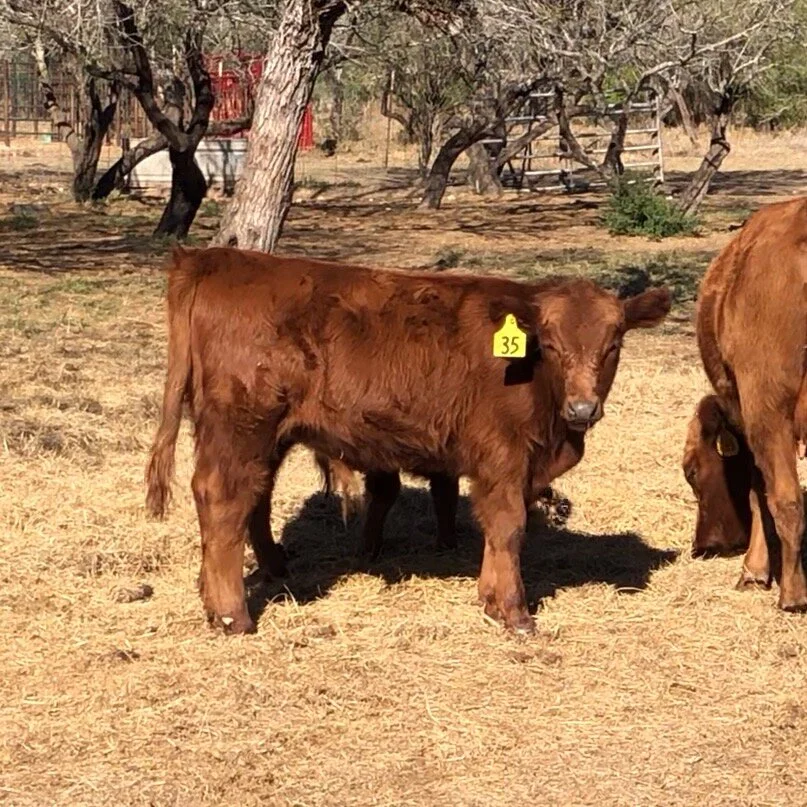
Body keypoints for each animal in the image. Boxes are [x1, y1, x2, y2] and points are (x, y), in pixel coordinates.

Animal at [146, 247, 671, 635]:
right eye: (554, 345)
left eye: (614, 345)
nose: (582, 409)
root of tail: (212, 258)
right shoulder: (502, 456)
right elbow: (508, 527)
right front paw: (514, 612)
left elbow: (495, 530)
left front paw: (488, 598)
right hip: (241, 426)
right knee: (223, 500)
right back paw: (232, 614)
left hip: (261, 435)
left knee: (253, 499)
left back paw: (253, 579)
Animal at [682, 197, 807, 612]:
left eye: (691, 471)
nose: (701, 545)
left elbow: (758, 496)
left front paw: (754, 571)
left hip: (767, 411)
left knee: (785, 499)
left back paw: (793, 595)